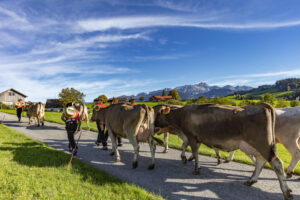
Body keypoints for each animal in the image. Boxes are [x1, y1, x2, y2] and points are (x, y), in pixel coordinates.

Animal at [155, 103, 292, 200]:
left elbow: (195, 153)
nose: (154, 125)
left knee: (277, 163)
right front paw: (188, 160)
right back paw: (251, 180)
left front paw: (195, 169)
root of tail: (260, 105)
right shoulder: (195, 138)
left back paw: (286, 192)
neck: (182, 115)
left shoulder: (192, 137)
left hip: (262, 143)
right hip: (252, 145)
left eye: (158, 115)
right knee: (260, 161)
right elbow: (190, 150)